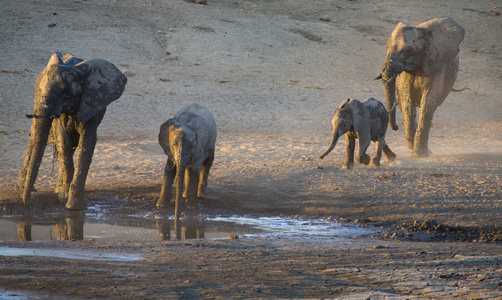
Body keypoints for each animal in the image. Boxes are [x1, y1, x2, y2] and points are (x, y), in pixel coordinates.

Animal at [15, 52, 127, 211]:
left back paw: (56, 190)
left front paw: (73, 206)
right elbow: (64, 141)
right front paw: (65, 200)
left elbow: (87, 142)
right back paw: (22, 188)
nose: (28, 202)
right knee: (34, 138)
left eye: (67, 95)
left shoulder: (91, 103)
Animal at [378, 17, 464, 158]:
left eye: (407, 51)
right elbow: (407, 100)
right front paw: (415, 151)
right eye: (386, 47)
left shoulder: (436, 63)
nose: (396, 127)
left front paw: (420, 154)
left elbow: (429, 100)